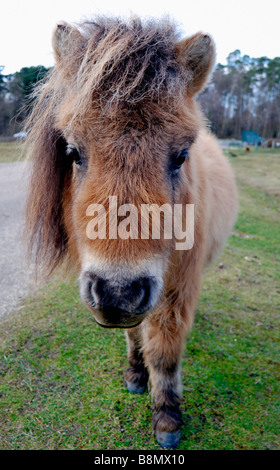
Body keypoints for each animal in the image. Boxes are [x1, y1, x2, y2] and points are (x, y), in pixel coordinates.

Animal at [24, 15, 238, 448]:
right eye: (72, 151)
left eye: (182, 155)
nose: (118, 292)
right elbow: (135, 335)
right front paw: (136, 374)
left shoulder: (175, 288)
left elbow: (166, 349)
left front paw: (168, 418)